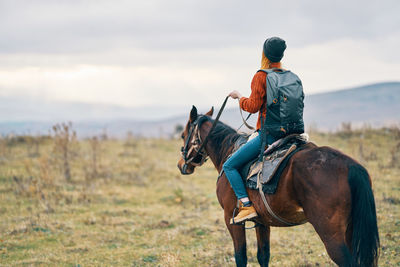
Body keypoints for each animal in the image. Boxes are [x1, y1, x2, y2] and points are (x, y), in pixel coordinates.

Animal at [177, 107, 378, 267]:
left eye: (183, 135)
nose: (181, 165)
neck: (228, 153)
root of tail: (352, 166)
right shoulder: (262, 221)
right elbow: (263, 256)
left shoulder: (231, 219)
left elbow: (241, 257)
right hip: (351, 231)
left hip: (332, 235)